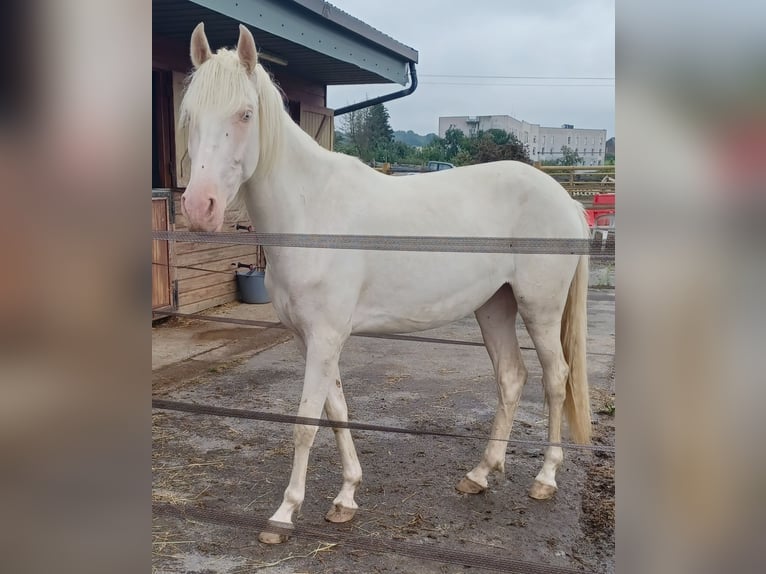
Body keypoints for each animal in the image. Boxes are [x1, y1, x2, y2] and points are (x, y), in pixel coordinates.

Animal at [180, 22, 592, 544]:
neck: (313, 212)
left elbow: (306, 422)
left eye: (245, 114)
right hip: (494, 305)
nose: (200, 207)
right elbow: (336, 411)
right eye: (190, 114)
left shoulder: (325, 338)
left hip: (540, 308)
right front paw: (346, 497)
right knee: (511, 377)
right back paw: (480, 473)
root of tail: (564, 198)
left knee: (555, 379)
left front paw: (284, 513)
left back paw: (545, 478)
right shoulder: (312, 340)